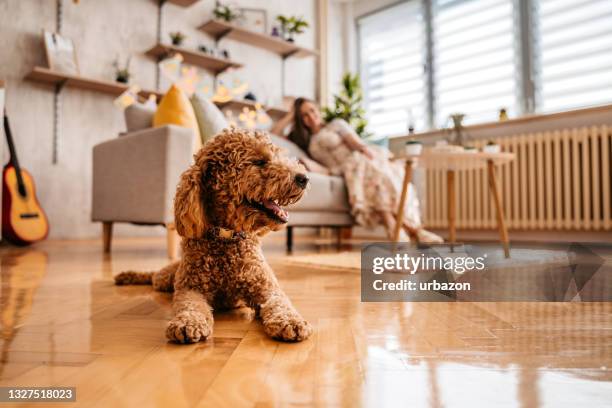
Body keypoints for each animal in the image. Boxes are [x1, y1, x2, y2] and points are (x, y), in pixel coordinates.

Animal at [115, 128, 314, 344]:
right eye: (259, 162)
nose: (304, 178)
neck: (226, 238)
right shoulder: (190, 288)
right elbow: (190, 306)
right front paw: (187, 323)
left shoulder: (266, 288)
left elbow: (281, 303)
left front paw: (291, 321)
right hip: (167, 279)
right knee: (152, 276)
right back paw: (127, 275)